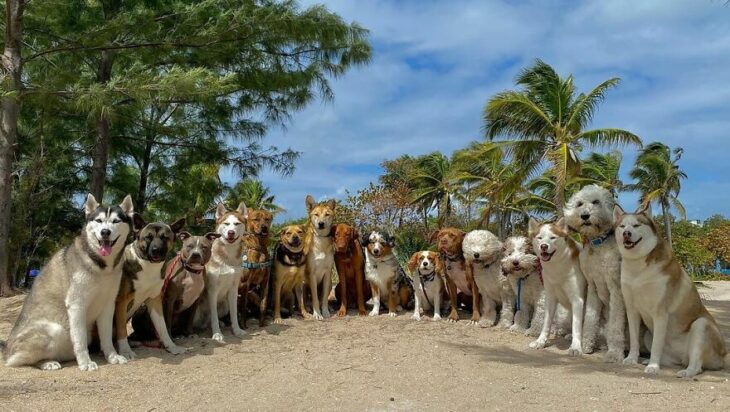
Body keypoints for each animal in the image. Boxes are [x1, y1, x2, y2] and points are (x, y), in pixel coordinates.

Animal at [115, 216, 185, 358]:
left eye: (165, 237)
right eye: (148, 237)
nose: (156, 250)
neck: (147, 265)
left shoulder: (154, 300)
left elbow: (162, 327)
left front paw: (172, 346)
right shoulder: (121, 302)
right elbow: (121, 329)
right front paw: (125, 351)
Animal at [524, 217, 584, 356]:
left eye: (552, 238)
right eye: (540, 238)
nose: (544, 246)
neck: (557, 266)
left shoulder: (577, 300)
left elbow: (577, 326)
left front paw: (576, 347)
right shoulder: (550, 298)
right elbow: (546, 323)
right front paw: (540, 342)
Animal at [564, 185, 624, 362]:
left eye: (596, 202)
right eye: (579, 204)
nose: (585, 215)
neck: (598, 245)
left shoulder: (616, 289)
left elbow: (616, 325)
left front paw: (615, 353)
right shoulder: (592, 287)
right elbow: (590, 320)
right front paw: (585, 345)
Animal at [612, 204, 724, 378]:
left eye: (636, 225)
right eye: (622, 226)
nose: (626, 234)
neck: (638, 267)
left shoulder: (660, 312)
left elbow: (657, 345)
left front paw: (653, 366)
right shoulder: (631, 310)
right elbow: (634, 340)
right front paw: (632, 358)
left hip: (701, 325)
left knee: (697, 364)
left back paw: (686, 371)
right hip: (648, 335)